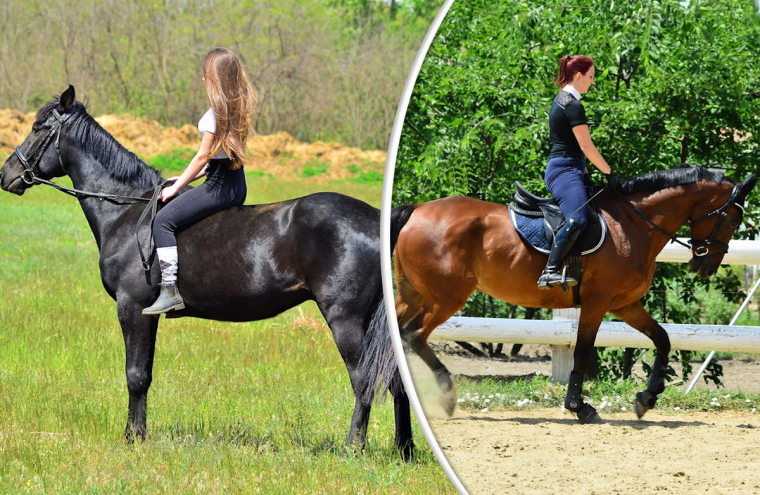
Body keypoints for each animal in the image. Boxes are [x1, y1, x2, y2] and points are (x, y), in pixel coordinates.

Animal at [0, 86, 412, 462]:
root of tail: (379, 220)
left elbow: (135, 375)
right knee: (396, 381)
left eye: (38, 128)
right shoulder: (147, 315)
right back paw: (404, 450)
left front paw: (133, 440)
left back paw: (353, 449)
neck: (126, 212)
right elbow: (145, 374)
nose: (6, 174)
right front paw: (139, 435)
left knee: (363, 379)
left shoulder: (132, 308)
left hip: (345, 319)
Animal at [392, 167, 756, 422]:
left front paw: (646, 398)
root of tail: (417, 210)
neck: (632, 225)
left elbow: (663, 339)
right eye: (733, 219)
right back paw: (447, 395)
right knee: (414, 334)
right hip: (446, 298)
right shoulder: (597, 303)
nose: (707, 266)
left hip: (414, 295)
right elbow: (581, 352)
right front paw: (579, 407)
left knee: (398, 330)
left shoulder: (624, 304)